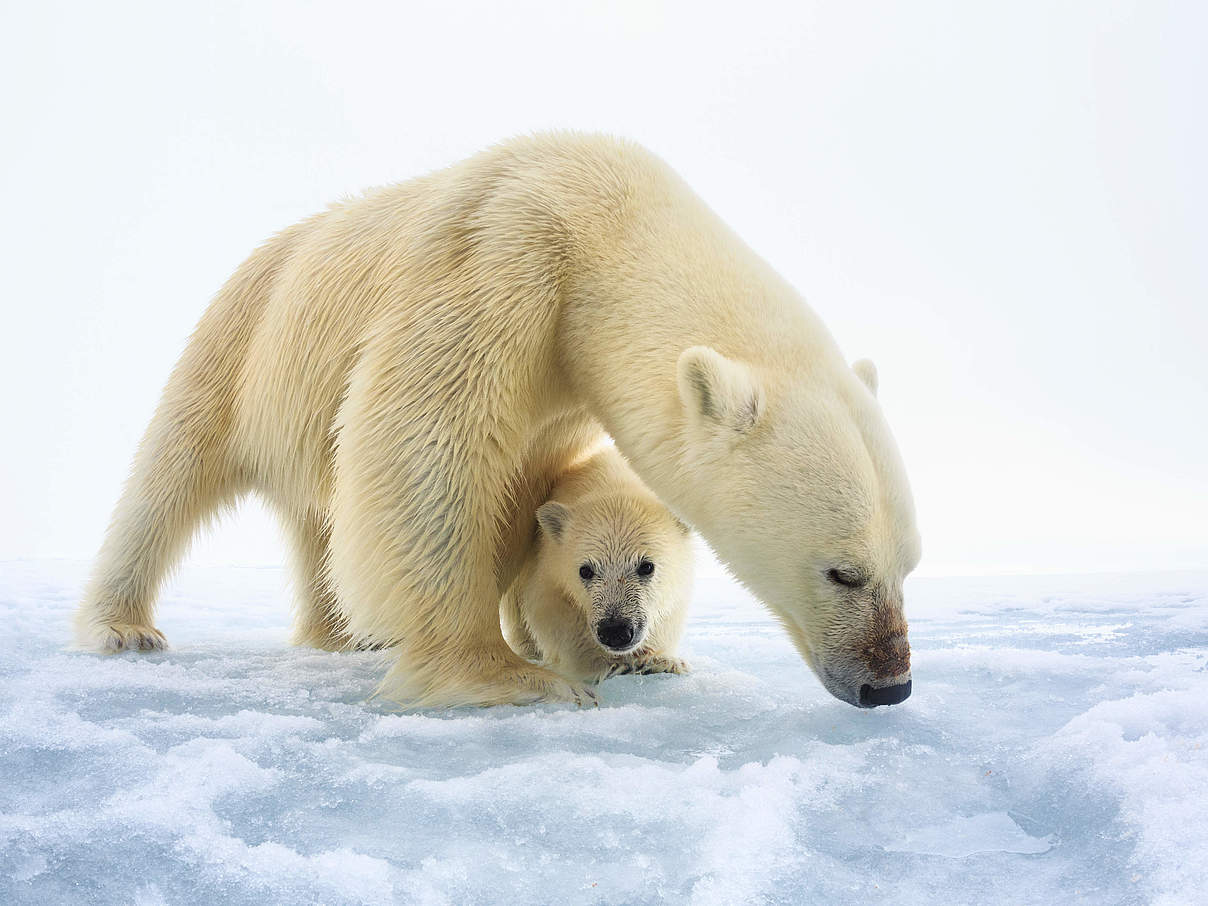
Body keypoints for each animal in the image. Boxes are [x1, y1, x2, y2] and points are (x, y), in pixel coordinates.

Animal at [497, 446, 690, 686]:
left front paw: (661, 661)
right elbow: (557, 616)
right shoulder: (549, 565)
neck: (613, 481)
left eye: (647, 566)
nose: (615, 631)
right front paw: (610, 666)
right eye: (585, 570)